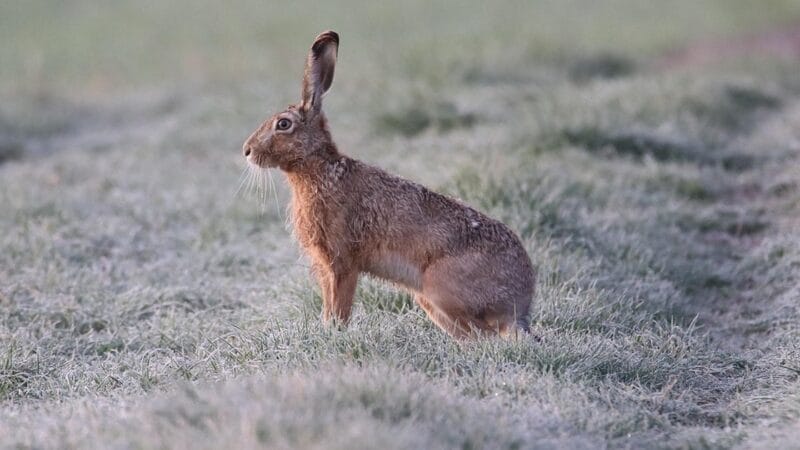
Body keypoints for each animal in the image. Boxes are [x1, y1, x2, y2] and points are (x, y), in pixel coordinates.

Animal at [242, 31, 535, 339]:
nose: (247, 151)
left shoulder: (341, 262)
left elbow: (339, 307)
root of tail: (520, 304)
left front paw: (334, 333)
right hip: (430, 301)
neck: (318, 169)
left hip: (440, 289)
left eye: (283, 124)